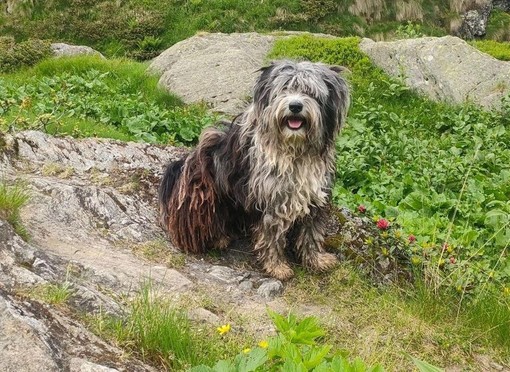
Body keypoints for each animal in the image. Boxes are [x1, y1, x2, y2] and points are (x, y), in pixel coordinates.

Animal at [159, 60, 350, 280]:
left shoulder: (315, 195)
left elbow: (311, 232)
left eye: (310, 92)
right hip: (201, 189)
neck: (295, 151)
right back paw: (217, 238)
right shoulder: (271, 199)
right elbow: (271, 236)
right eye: (284, 89)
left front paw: (316, 260)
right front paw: (277, 267)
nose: (295, 106)